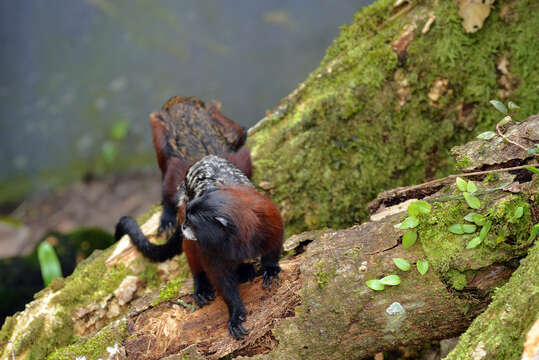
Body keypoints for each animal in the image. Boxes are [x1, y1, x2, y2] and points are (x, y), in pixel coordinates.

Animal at [116, 156, 284, 338]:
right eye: (187, 218)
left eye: (192, 222)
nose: (183, 226)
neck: (236, 238)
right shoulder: (209, 246)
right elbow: (220, 277)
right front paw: (235, 312)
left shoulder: (266, 217)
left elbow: (274, 241)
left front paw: (270, 268)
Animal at [150, 95, 253, 236]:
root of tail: (179, 101)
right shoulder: (178, 173)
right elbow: (168, 191)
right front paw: (168, 216)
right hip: (161, 124)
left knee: (235, 132)